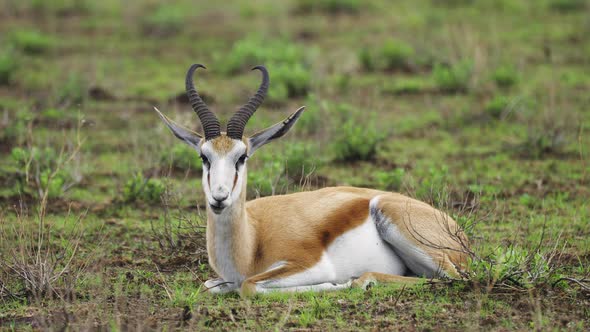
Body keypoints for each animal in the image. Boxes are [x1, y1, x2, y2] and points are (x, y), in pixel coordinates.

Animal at [155, 63, 470, 296]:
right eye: (204, 157)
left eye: (242, 156)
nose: (219, 197)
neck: (251, 242)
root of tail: (457, 231)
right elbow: (209, 286)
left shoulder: (307, 265)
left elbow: (250, 286)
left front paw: (339, 284)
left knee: (453, 278)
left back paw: (361, 280)